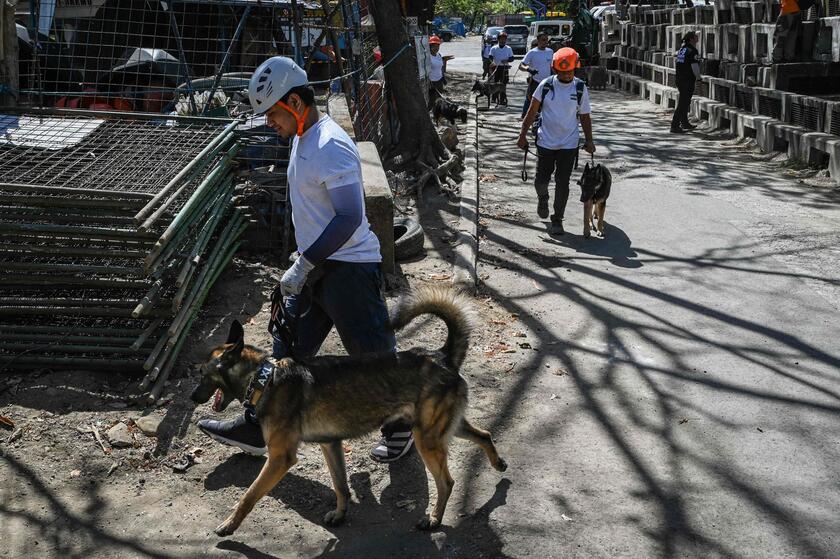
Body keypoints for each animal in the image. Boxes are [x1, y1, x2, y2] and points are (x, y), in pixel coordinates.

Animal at [191, 286, 506, 536]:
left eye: (203, 374)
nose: (193, 397)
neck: (265, 377)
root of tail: (443, 355)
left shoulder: (280, 458)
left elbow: (249, 495)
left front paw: (230, 524)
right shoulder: (330, 445)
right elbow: (340, 485)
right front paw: (341, 514)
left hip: (427, 439)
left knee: (447, 482)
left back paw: (434, 519)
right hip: (440, 428)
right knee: (484, 434)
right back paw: (498, 464)